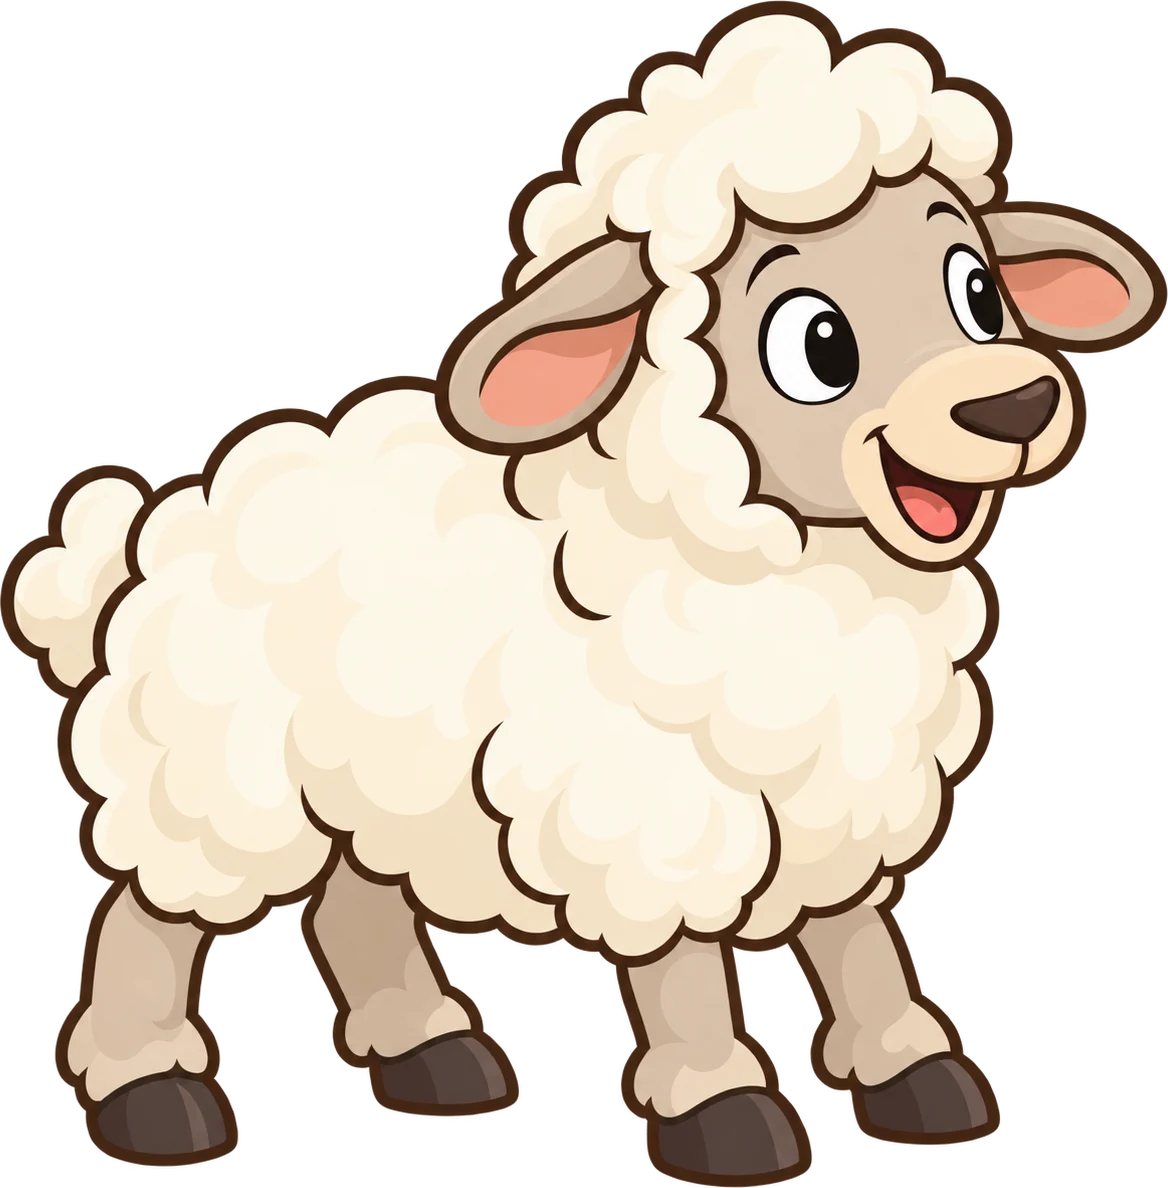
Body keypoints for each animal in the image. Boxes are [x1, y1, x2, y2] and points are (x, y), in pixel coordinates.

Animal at [2, 3, 1164, 1182]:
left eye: (976, 292)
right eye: (816, 342)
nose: (1014, 404)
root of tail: (151, 528)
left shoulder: (839, 800)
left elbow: (857, 946)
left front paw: (914, 1075)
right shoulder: (655, 816)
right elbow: (686, 974)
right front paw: (721, 1109)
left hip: (371, 781)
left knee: (354, 909)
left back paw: (431, 1053)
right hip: (215, 793)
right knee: (153, 923)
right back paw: (151, 1091)